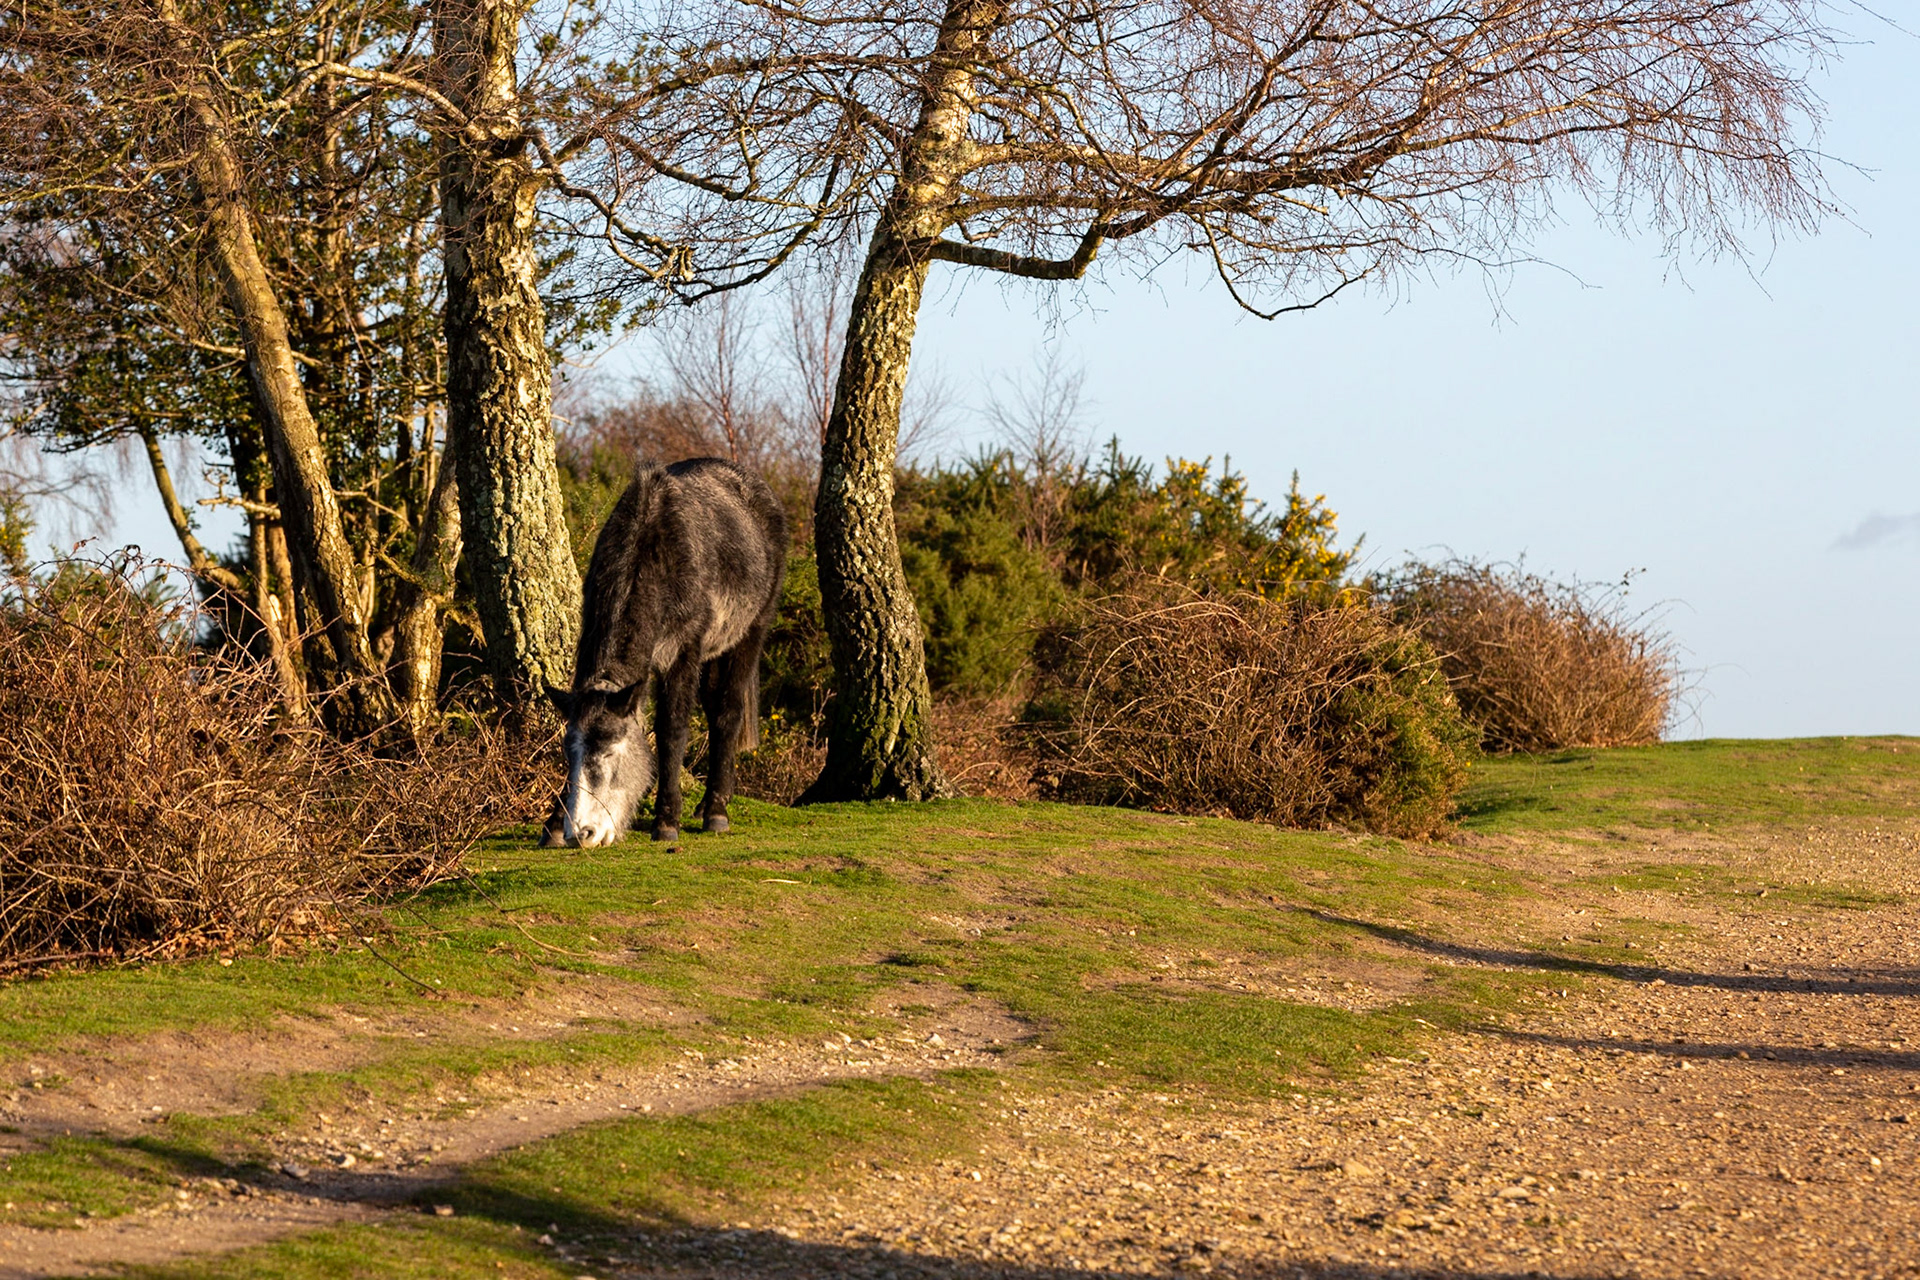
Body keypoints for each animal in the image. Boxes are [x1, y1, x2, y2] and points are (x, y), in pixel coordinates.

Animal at [542, 457, 786, 847]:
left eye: (611, 751)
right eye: (568, 755)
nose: (582, 833)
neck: (654, 553)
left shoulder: (683, 653)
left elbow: (672, 730)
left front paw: (667, 819)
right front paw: (552, 824)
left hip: (750, 633)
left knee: (727, 713)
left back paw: (716, 811)